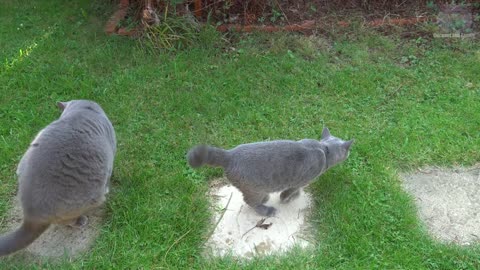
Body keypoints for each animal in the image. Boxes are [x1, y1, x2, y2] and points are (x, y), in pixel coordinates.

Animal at [0, 100, 116, 256]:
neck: (83, 110)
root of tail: (32, 215)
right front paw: (108, 188)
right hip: (88, 198)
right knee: (66, 221)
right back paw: (81, 220)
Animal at [188, 127, 352, 216]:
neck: (324, 149)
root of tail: (229, 155)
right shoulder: (301, 181)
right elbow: (292, 191)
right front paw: (287, 198)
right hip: (253, 188)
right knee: (250, 201)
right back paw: (267, 210)